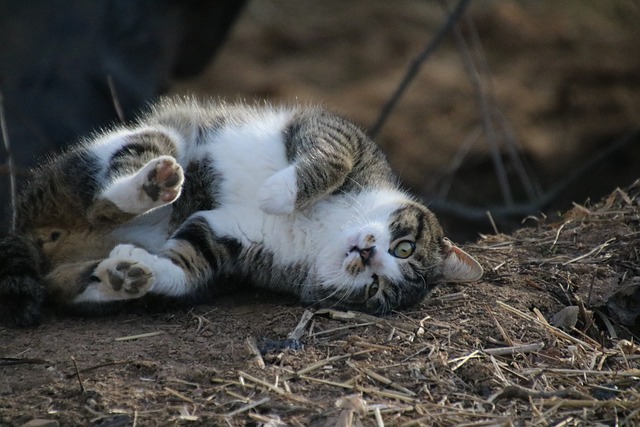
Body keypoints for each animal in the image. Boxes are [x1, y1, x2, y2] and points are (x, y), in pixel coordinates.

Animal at [0, 97, 482, 326]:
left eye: (375, 289)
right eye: (404, 247)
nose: (367, 255)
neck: (327, 231)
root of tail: (26, 228)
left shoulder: (231, 241)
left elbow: (189, 267)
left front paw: (147, 267)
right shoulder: (341, 135)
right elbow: (331, 158)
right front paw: (277, 194)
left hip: (70, 267)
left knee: (68, 280)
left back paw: (122, 276)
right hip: (151, 138)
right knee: (108, 195)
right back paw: (155, 184)